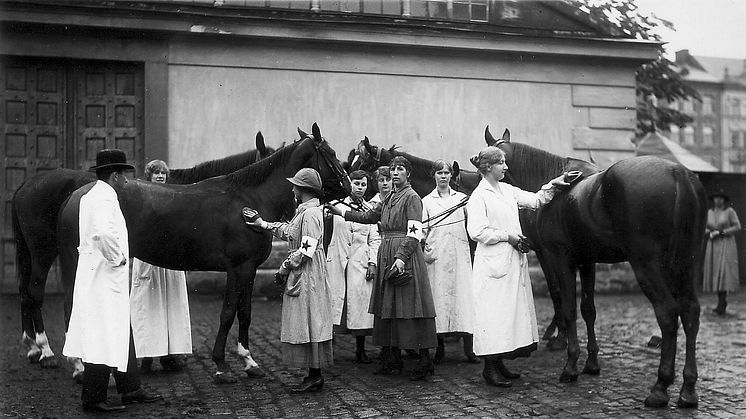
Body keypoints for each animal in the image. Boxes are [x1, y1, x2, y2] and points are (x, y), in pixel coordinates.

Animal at [12, 133, 274, 370]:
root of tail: (28, 184)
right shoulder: (238, 267)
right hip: (46, 252)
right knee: (38, 293)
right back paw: (50, 352)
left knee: (26, 292)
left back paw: (34, 347)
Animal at [58, 124, 348, 384]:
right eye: (331, 153)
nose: (349, 187)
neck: (250, 199)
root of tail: (74, 196)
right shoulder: (238, 267)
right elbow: (228, 312)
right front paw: (221, 365)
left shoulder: (250, 268)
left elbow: (245, 312)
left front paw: (249, 361)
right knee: (73, 307)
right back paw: (79, 366)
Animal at [482, 126, 704, 408]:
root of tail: (678, 173)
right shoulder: (587, 261)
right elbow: (588, 310)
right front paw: (591, 363)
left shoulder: (559, 258)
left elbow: (567, 308)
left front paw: (570, 365)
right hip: (685, 265)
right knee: (690, 312)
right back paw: (688, 390)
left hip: (648, 265)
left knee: (667, 313)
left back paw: (660, 387)